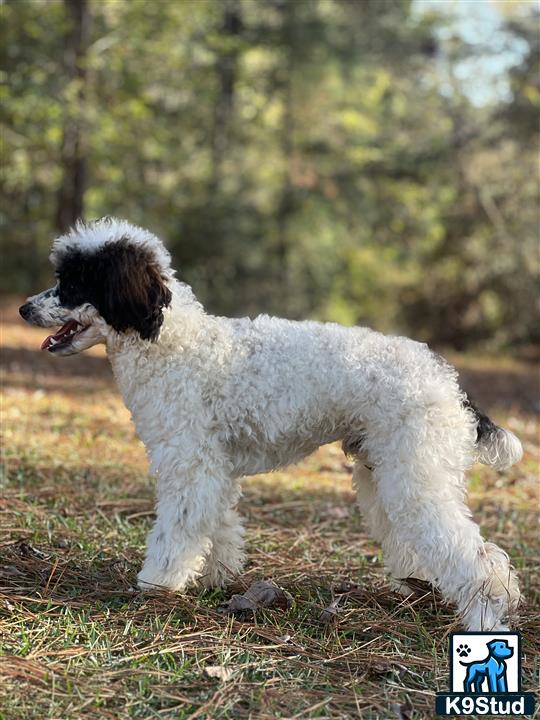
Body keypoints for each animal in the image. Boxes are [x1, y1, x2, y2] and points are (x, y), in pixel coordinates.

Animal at [20, 218, 524, 632]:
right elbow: (215, 526)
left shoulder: (189, 463)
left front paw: (158, 582)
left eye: (75, 281)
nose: (24, 309)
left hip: (415, 474)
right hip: (386, 472)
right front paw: (216, 576)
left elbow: (177, 529)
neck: (171, 342)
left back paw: (483, 616)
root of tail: (447, 379)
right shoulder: (212, 468)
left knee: (478, 558)